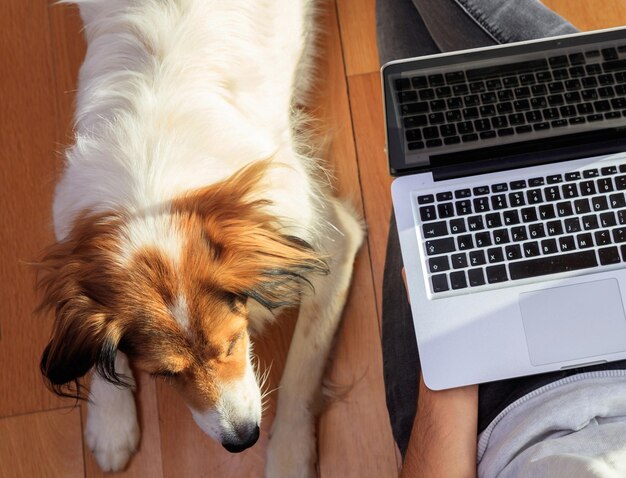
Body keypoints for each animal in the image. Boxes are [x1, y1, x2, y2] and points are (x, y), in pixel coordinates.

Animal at [34, 1, 364, 476]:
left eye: (233, 342)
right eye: (165, 374)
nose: (242, 440)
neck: (155, 199)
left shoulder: (328, 240)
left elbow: (302, 367)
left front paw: (288, 454)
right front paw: (111, 421)